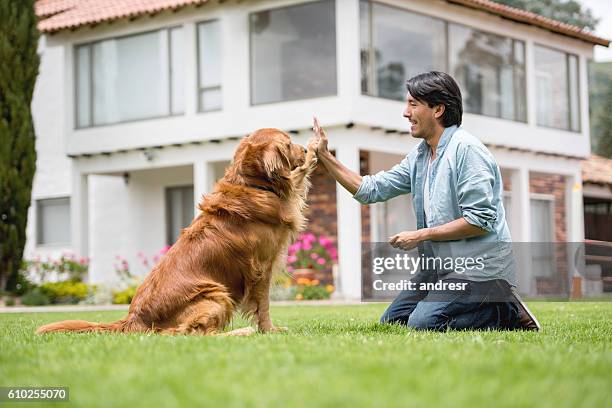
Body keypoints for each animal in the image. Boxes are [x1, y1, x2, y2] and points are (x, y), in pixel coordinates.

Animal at [37, 129, 320, 336]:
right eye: (288, 143)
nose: (304, 149)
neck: (252, 185)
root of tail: (133, 318)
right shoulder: (261, 268)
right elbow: (263, 306)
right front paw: (269, 330)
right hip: (216, 294)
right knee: (191, 334)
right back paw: (241, 333)